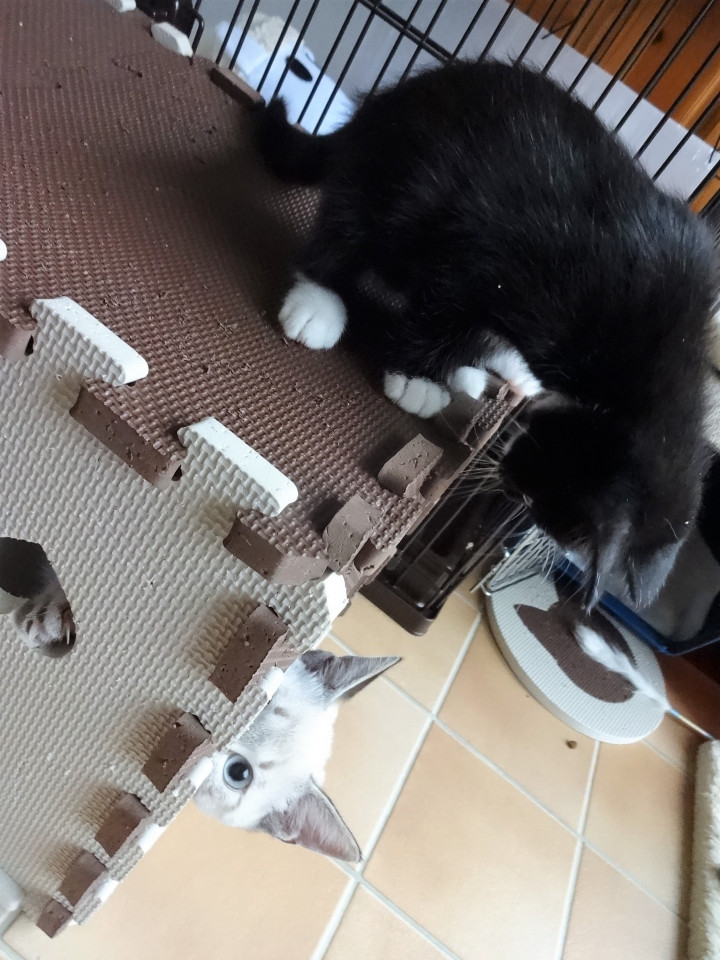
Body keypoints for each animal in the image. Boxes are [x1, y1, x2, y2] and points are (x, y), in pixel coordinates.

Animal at [253, 58, 719, 611]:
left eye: (534, 498)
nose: (505, 473)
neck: (656, 363)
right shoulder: (507, 253)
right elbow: (450, 305)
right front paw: (418, 377)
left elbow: (476, 326)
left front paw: (467, 368)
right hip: (403, 171)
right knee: (351, 223)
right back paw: (320, 298)